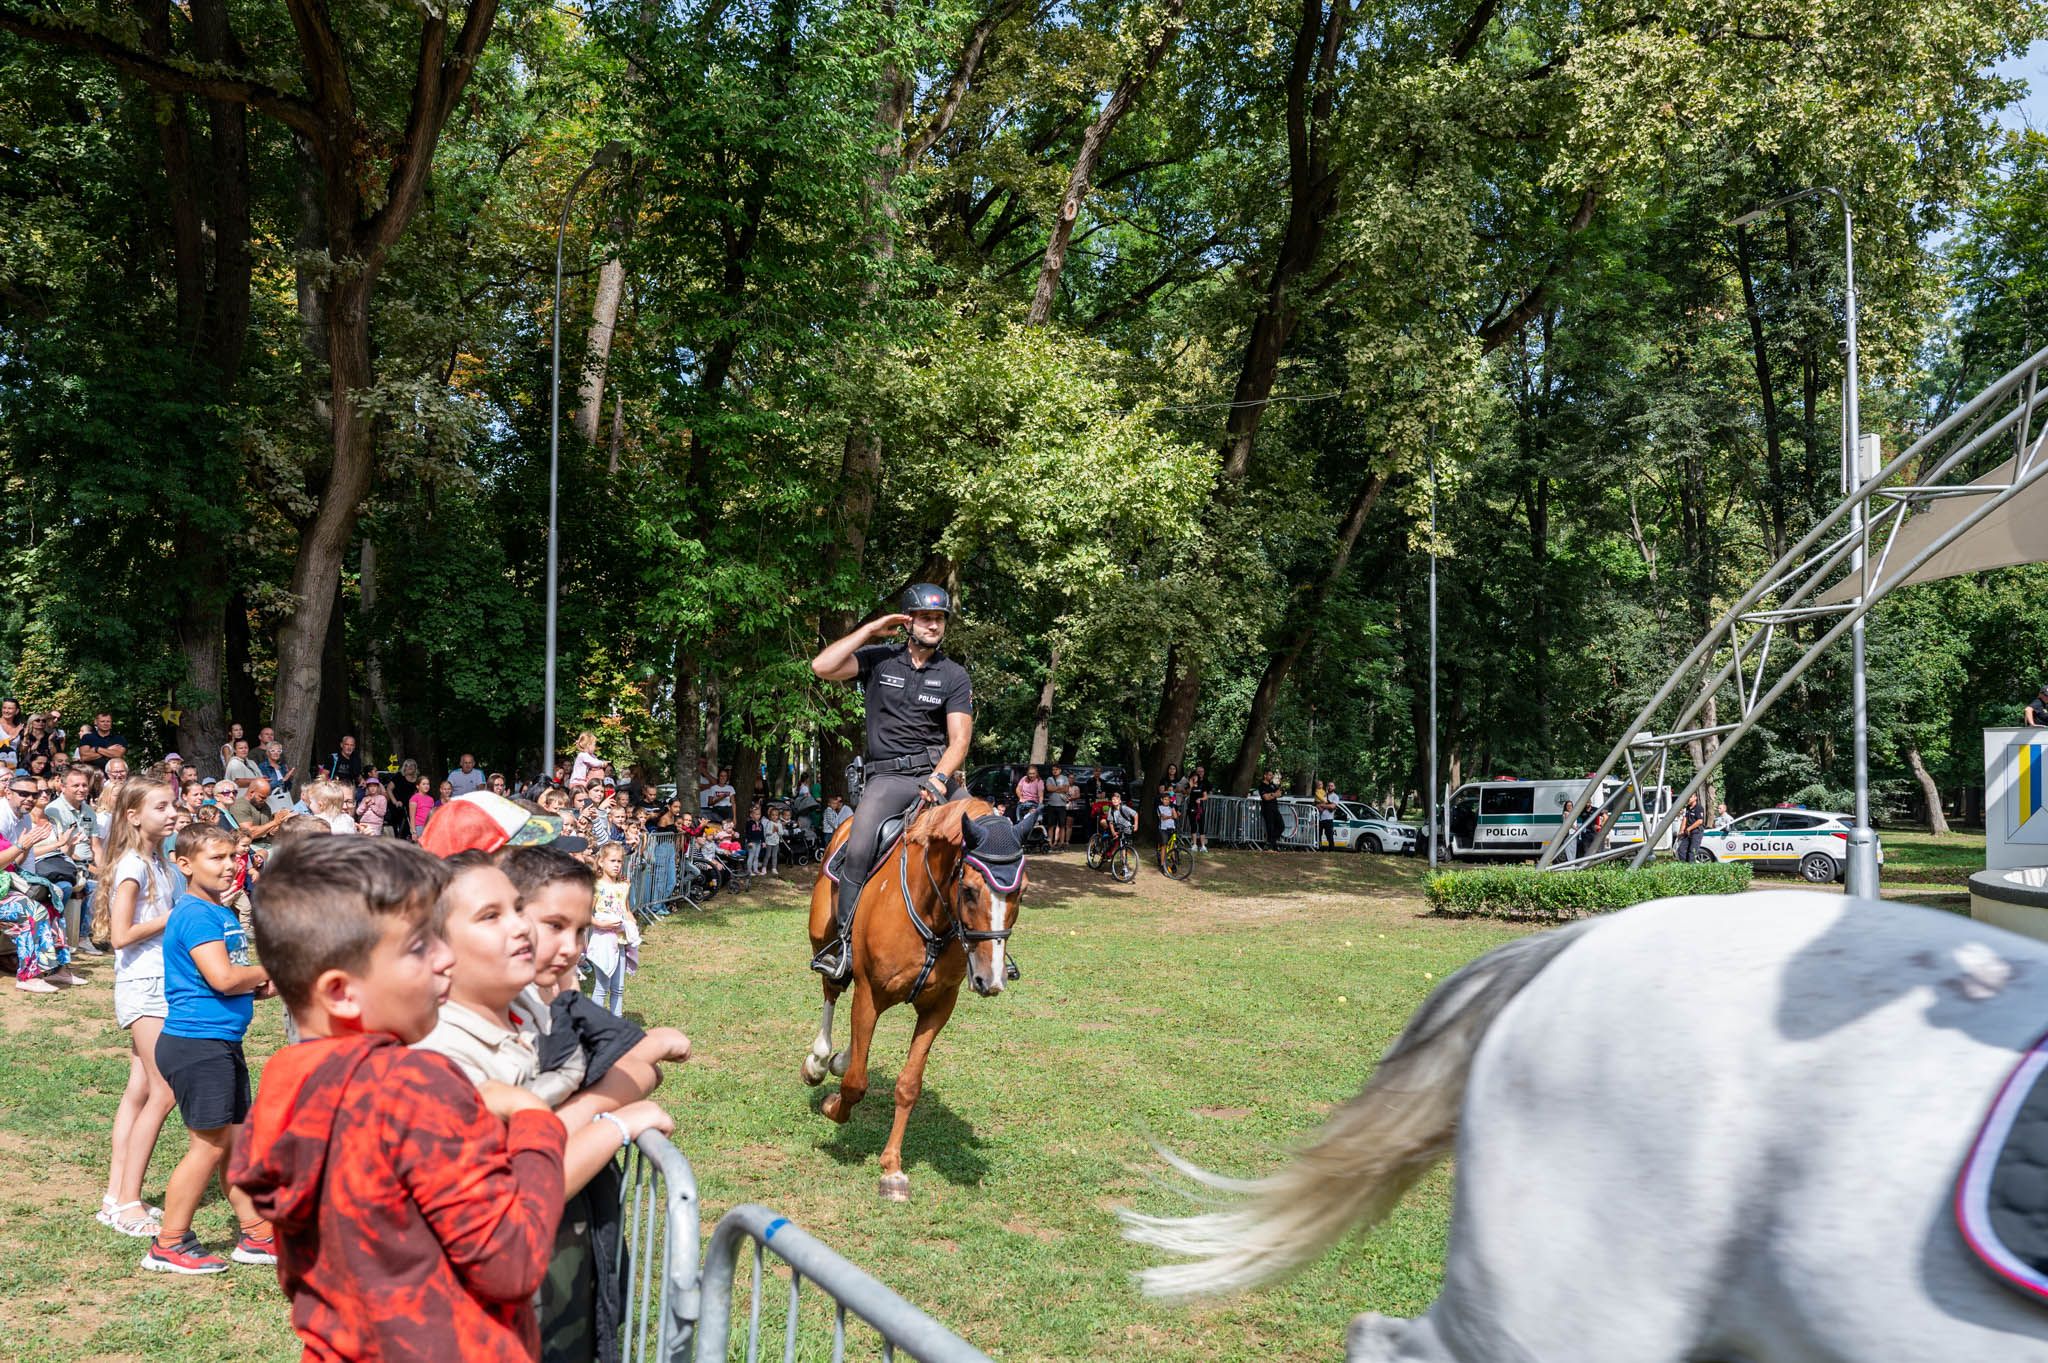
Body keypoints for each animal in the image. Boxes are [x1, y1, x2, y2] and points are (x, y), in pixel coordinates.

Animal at [803, 797, 1034, 1201]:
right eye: (969, 890)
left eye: (1018, 893)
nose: (990, 980)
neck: (934, 916)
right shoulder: (869, 995)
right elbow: (856, 1083)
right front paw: (834, 1108)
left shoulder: (939, 1007)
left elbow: (908, 1085)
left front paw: (892, 1169)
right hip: (824, 938)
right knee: (831, 991)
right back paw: (817, 1062)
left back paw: (838, 1059)